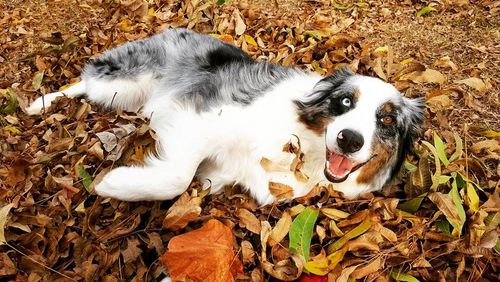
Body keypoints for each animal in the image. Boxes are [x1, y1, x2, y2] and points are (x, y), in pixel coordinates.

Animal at [27, 28, 424, 205]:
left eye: (388, 121)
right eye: (344, 102)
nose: (349, 139)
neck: (301, 149)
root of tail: (174, 28)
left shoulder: (223, 173)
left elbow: (193, 185)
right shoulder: (201, 118)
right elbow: (176, 179)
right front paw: (113, 185)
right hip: (124, 81)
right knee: (87, 79)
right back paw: (41, 103)